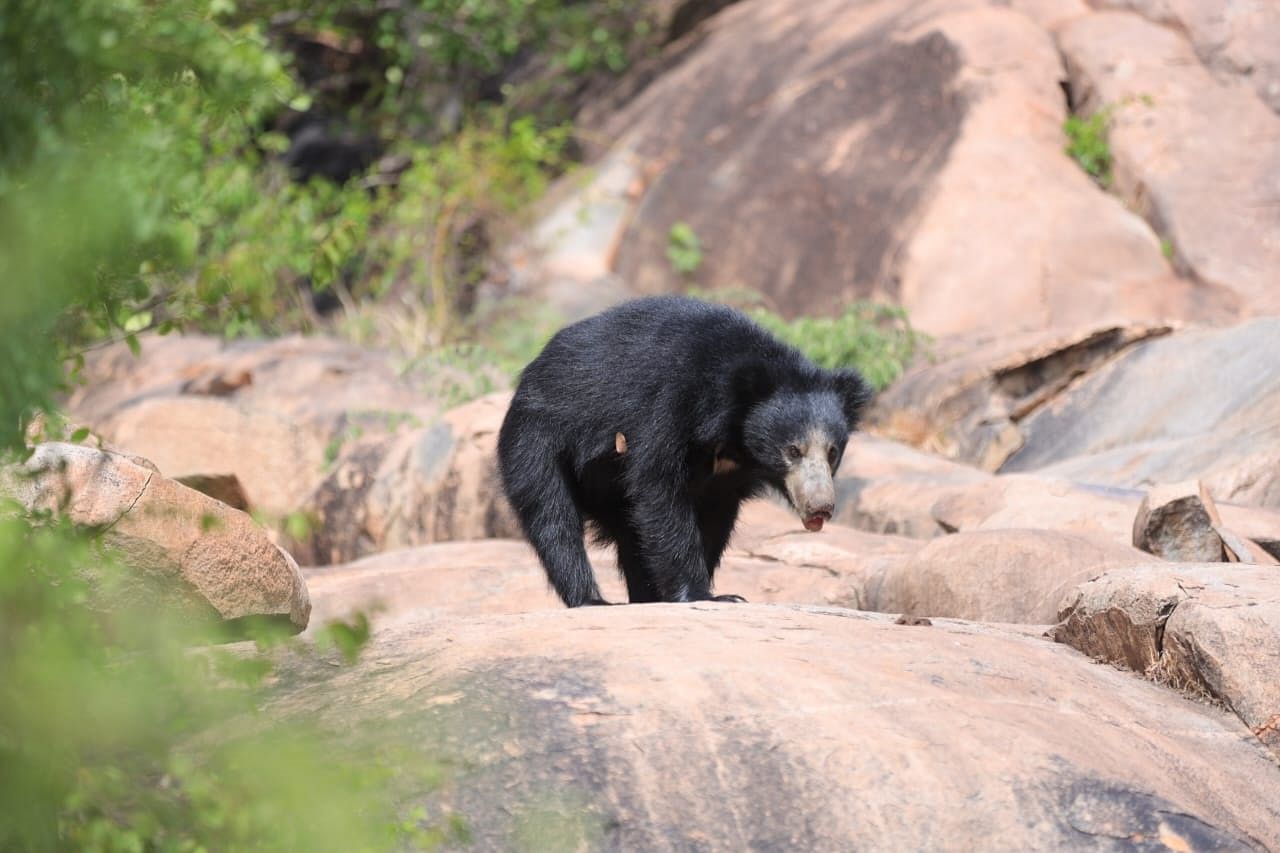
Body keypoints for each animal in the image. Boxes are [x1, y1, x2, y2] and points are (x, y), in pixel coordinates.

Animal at [494, 295, 875, 601]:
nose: (821, 507)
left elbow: (714, 518)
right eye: (793, 450)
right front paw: (702, 595)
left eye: (832, 452)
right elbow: (659, 489)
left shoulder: (727, 479)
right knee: (552, 516)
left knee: (631, 535)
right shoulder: (671, 406)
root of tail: (529, 375)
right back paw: (590, 599)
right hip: (538, 439)